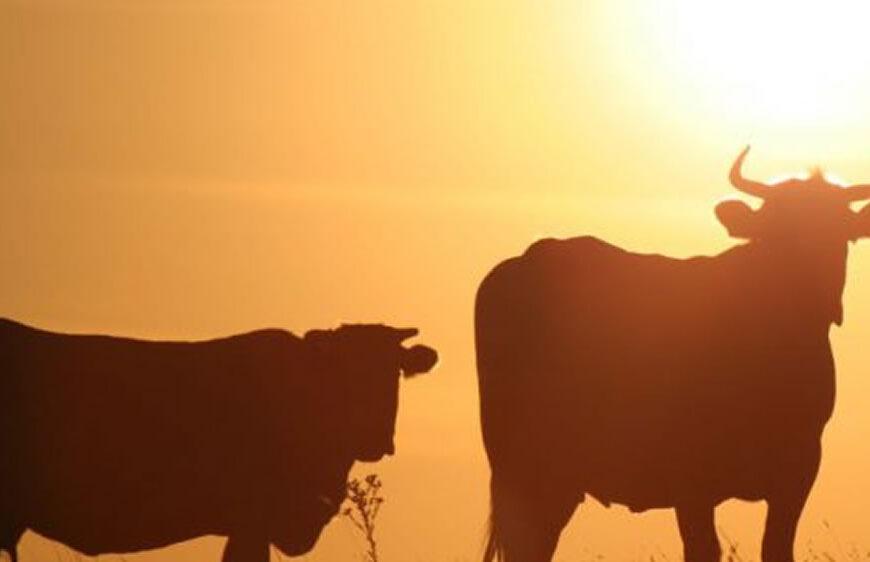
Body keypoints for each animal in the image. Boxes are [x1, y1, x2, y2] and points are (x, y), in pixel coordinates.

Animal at [474, 147, 870, 560]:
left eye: (839, 234)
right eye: (770, 233)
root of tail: (531, 257)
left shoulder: (800, 466)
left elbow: (776, 545)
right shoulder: (691, 477)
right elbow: (703, 548)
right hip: (523, 465)